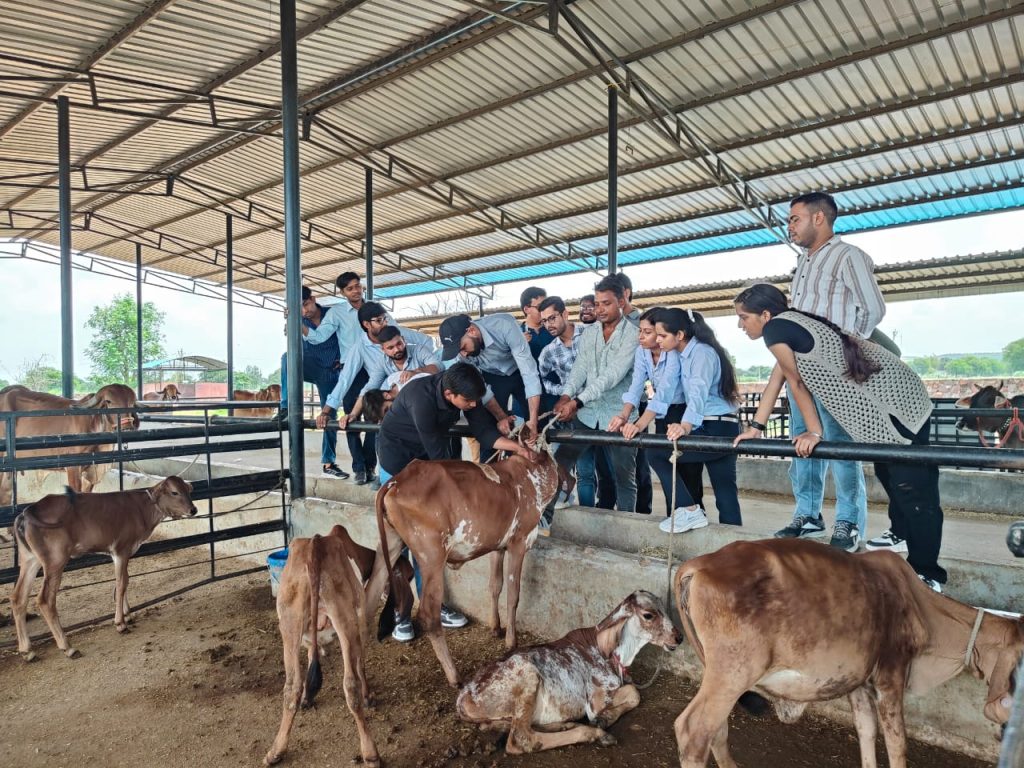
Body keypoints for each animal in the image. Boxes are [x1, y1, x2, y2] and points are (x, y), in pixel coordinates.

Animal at [11, 476, 197, 661]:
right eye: (174, 492)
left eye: (188, 490)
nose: (193, 509)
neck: (142, 509)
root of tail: (28, 511)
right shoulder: (121, 549)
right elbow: (121, 584)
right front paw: (120, 623)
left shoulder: (123, 553)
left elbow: (124, 581)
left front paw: (127, 615)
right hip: (55, 560)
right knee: (45, 600)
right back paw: (67, 647)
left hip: (30, 559)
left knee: (18, 597)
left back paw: (27, 650)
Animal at [265, 524, 413, 767]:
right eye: (408, 576)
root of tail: (314, 546)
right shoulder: (361, 620)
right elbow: (361, 664)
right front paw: (368, 696)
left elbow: (310, 660)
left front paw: (308, 697)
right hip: (345, 619)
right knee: (350, 685)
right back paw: (371, 753)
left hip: (289, 621)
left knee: (291, 687)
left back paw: (276, 751)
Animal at [365, 439, 561, 687]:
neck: (530, 477)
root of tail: (395, 481)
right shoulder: (519, 542)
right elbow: (513, 593)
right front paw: (511, 641)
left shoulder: (498, 546)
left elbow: (495, 586)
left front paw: (495, 627)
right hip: (431, 557)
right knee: (429, 614)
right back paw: (454, 676)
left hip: (389, 546)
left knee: (367, 598)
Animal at [456, 590, 680, 754]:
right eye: (648, 615)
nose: (679, 637)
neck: (614, 654)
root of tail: (464, 694)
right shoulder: (596, 700)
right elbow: (633, 693)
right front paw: (602, 720)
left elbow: (634, 693)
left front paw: (604, 719)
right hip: (526, 674)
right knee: (521, 738)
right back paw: (594, 733)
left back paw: (565, 724)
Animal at [671, 539, 1024, 768]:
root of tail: (696, 565)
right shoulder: (891, 674)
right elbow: (898, 744)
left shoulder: (857, 682)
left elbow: (866, 732)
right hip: (734, 671)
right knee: (693, 731)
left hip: (717, 672)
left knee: (716, 730)